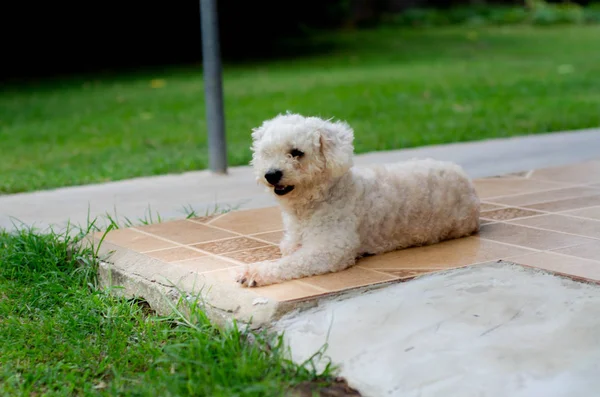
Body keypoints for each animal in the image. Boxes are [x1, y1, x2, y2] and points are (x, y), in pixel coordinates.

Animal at [237, 113, 480, 286]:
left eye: (297, 152)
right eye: (266, 153)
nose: (271, 174)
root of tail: (466, 179)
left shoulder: (332, 249)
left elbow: (291, 263)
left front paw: (255, 271)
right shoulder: (292, 242)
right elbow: (290, 251)